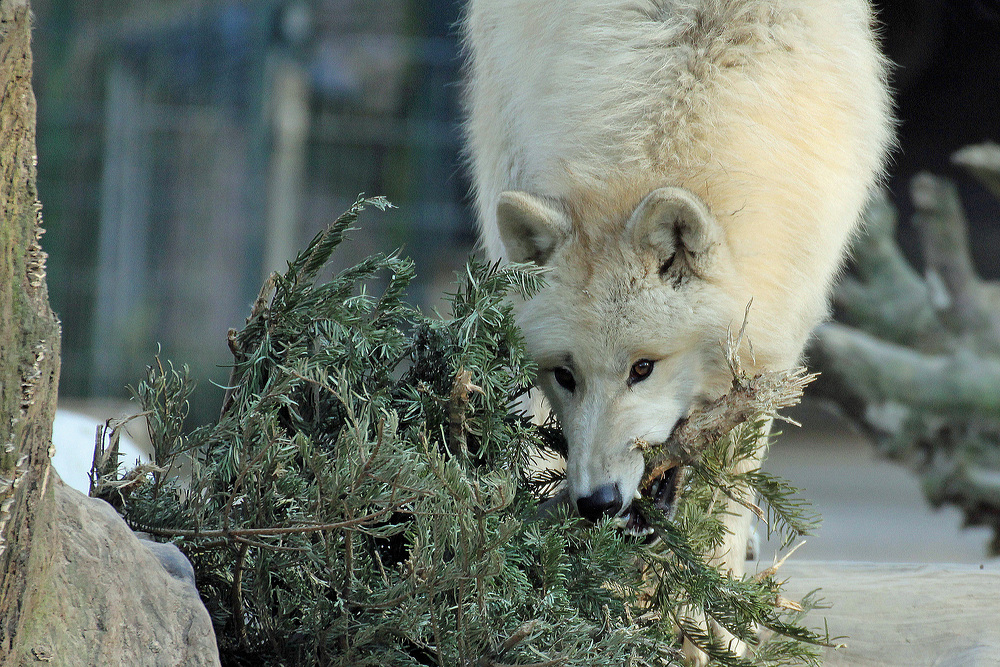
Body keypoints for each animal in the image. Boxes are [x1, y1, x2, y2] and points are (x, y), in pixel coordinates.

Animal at [460, 0, 892, 656]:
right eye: (565, 374)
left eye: (644, 368)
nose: (597, 503)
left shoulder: (773, 355)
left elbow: (722, 508)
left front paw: (715, 631)